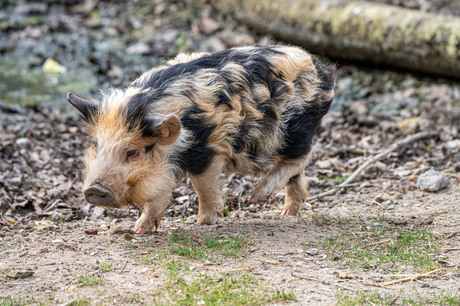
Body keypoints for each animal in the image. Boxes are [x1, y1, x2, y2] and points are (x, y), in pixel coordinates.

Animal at [67, 45, 334, 233]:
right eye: (96, 145)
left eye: (132, 152)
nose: (94, 190)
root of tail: (320, 69)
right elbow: (160, 193)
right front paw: (139, 230)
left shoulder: (206, 150)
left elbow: (202, 185)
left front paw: (202, 222)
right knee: (297, 173)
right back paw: (287, 214)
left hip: (296, 127)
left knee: (298, 160)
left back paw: (256, 196)